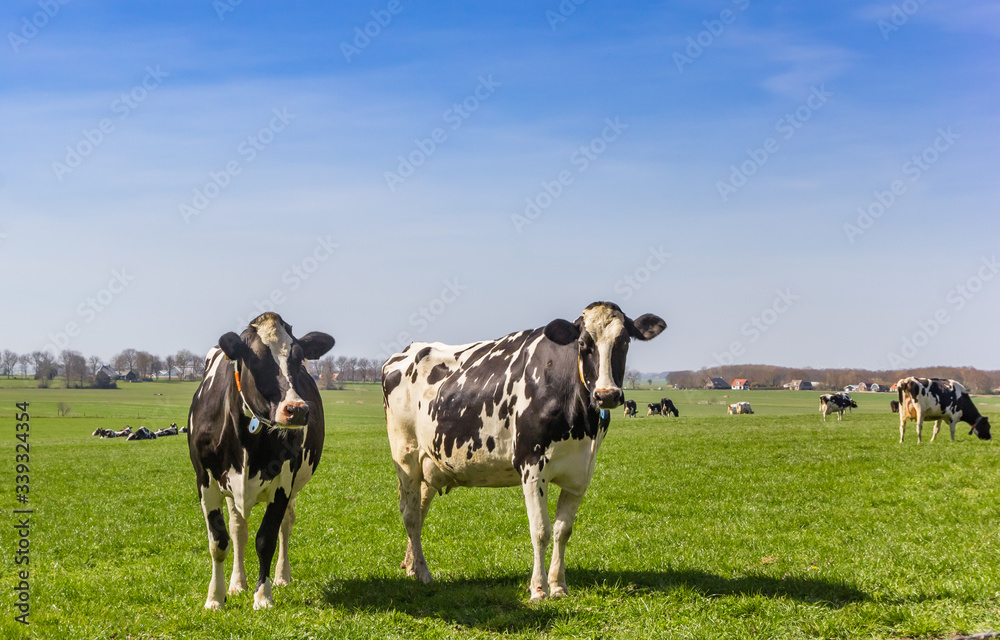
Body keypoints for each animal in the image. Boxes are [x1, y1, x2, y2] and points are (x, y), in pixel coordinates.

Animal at [189, 312, 338, 608]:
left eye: (298, 358)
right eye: (255, 358)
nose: (297, 410)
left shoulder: (283, 482)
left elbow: (266, 539)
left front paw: (263, 596)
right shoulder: (205, 480)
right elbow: (219, 541)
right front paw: (215, 598)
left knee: (285, 525)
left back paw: (282, 576)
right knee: (238, 530)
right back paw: (237, 583)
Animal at [382, 302, 664, 604]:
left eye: (624, 342)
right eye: (583, 343)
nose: (606, 395)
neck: (580, 418)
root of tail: (407, 351)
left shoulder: (580, 474)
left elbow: (563, 531)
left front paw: (558, 585)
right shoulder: (532, 467)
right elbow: (541, 530)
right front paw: (539, 589)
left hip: (430, 463)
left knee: (420, 510)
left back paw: (412, 566)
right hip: (406, 456)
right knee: (411, 514)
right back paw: (424, 573)